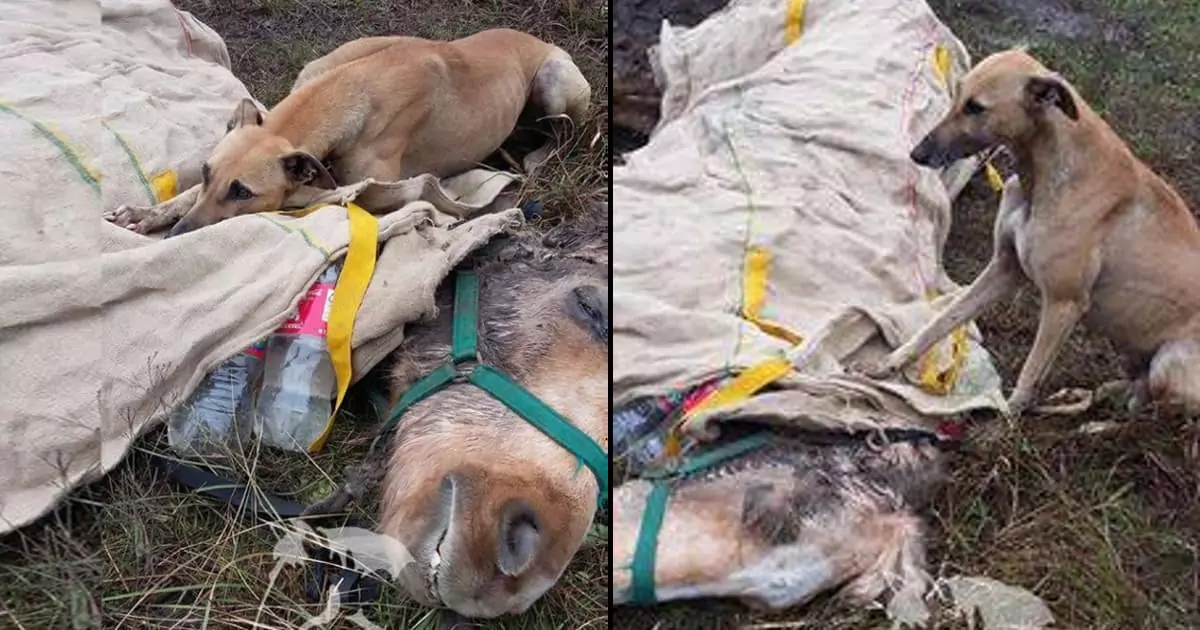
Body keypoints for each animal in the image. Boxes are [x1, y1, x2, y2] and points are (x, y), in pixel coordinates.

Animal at [103, 28, 590, 237]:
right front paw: (148, 213)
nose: (178, 235)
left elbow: (316, 193)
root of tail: (540, 40)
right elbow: (185, 196)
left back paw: (536, 156)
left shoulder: (375, 189)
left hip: (555, 82)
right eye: (206, 173)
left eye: (243, 193)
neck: (351, 89)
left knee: (566, 134)